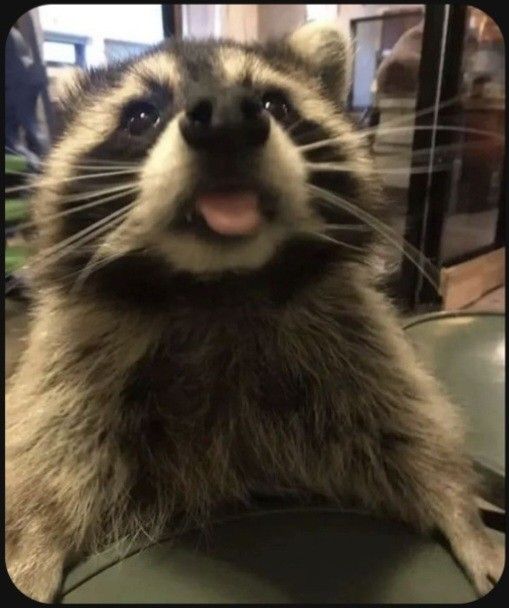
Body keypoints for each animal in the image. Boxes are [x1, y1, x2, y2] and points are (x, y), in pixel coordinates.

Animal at [5, 22, 502, 600]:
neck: (219, 286)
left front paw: (461, 508)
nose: (225, 118)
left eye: (274, 103)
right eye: (141, 116)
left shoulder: (355, 347)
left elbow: (407, 429)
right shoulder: (75, 370)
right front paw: (31, 542)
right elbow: (47, 449)